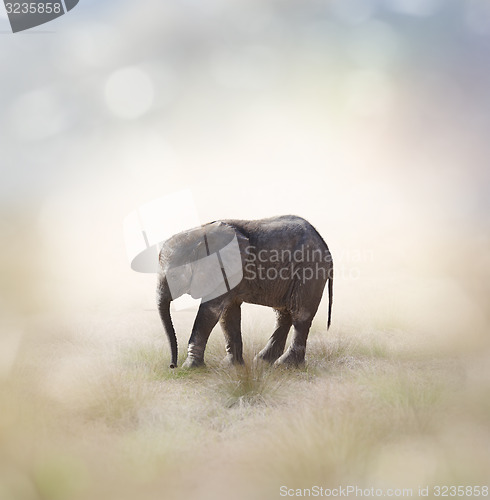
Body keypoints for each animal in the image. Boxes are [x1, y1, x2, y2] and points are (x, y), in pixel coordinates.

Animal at [157, 213, 334, 370]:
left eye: (173, 276)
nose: (172, 365)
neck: (198, 234)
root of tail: (325, 245)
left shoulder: (222, 271)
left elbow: (211, 311)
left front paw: (190, 368)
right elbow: (228, 313)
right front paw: (232, 367)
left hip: (309, 270)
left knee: (300, 315)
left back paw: (284, 366)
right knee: (284, 315)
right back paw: (263, 362)